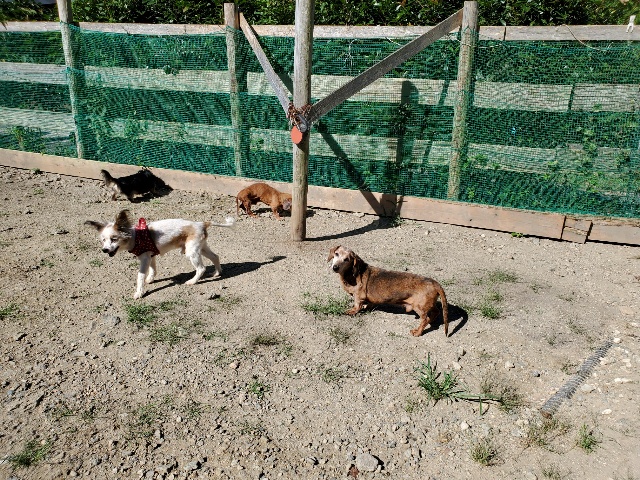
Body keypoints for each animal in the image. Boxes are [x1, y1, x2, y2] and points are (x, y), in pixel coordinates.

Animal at [85, 210, 234, 299]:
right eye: (103, 240)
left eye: (114, 239)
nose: (104, 250)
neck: (135, 236)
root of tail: (201, 223)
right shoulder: (151, 256)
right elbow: (153, 270)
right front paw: (150, 279)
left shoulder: (144, 258)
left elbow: (140, 276)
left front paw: (139, 292)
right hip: (201, 247)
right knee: (215, 256)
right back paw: (217, 272)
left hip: (192, 252)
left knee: (201, 268)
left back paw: (192, 281)